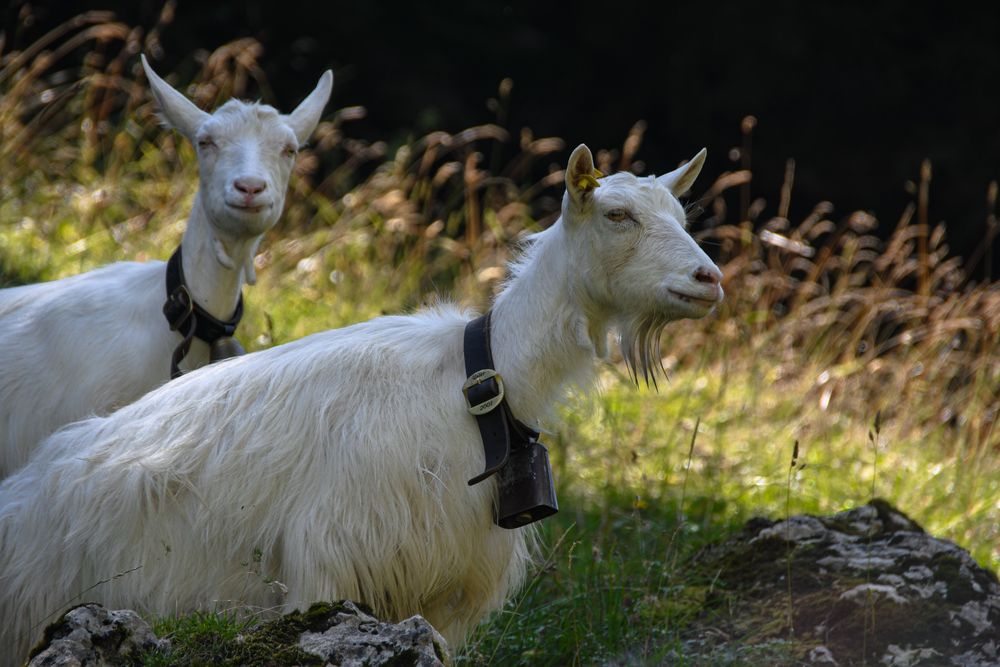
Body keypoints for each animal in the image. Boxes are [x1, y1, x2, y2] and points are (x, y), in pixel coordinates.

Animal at [0, 144, 724, 660]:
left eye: (682, 217)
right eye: (617, 215)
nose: (708, 279)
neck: (474, 381)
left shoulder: (441, 588)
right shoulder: (329, 568)